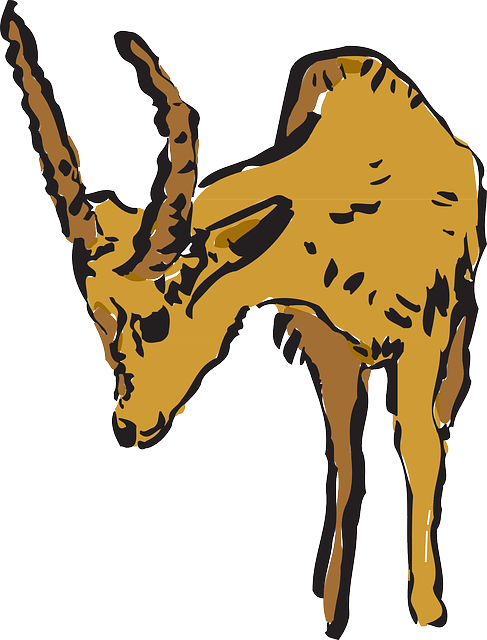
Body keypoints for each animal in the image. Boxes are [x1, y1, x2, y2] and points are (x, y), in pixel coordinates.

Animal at [2, 1, 485, 638]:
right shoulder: (330, 352)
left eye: (157, 320)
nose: (128, 426)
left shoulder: (421, 339)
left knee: (447, 403)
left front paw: (428, 609)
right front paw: (332, 609)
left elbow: (419, 448)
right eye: (99, 323)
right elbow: (345, 462)